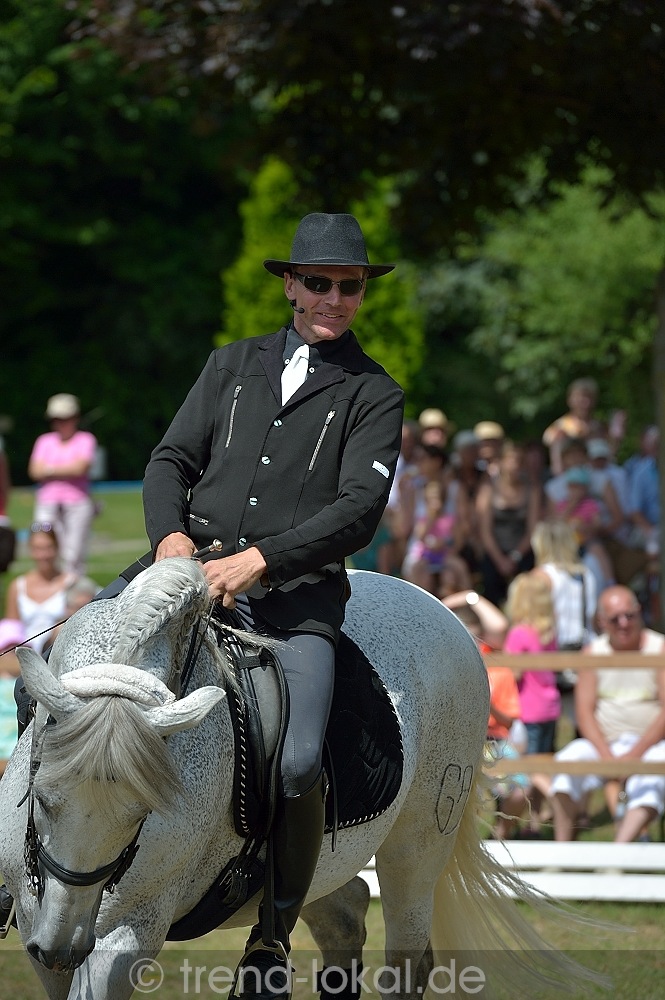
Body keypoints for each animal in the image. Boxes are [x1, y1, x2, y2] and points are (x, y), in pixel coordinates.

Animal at [0, 558, 604, 1000]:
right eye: (43, 798)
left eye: (141, 812)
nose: (62, 944)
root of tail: (440, 607)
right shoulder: (42, 930)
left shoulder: (127, 935)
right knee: (347, 918)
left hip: (418, 845)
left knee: (407, 958)